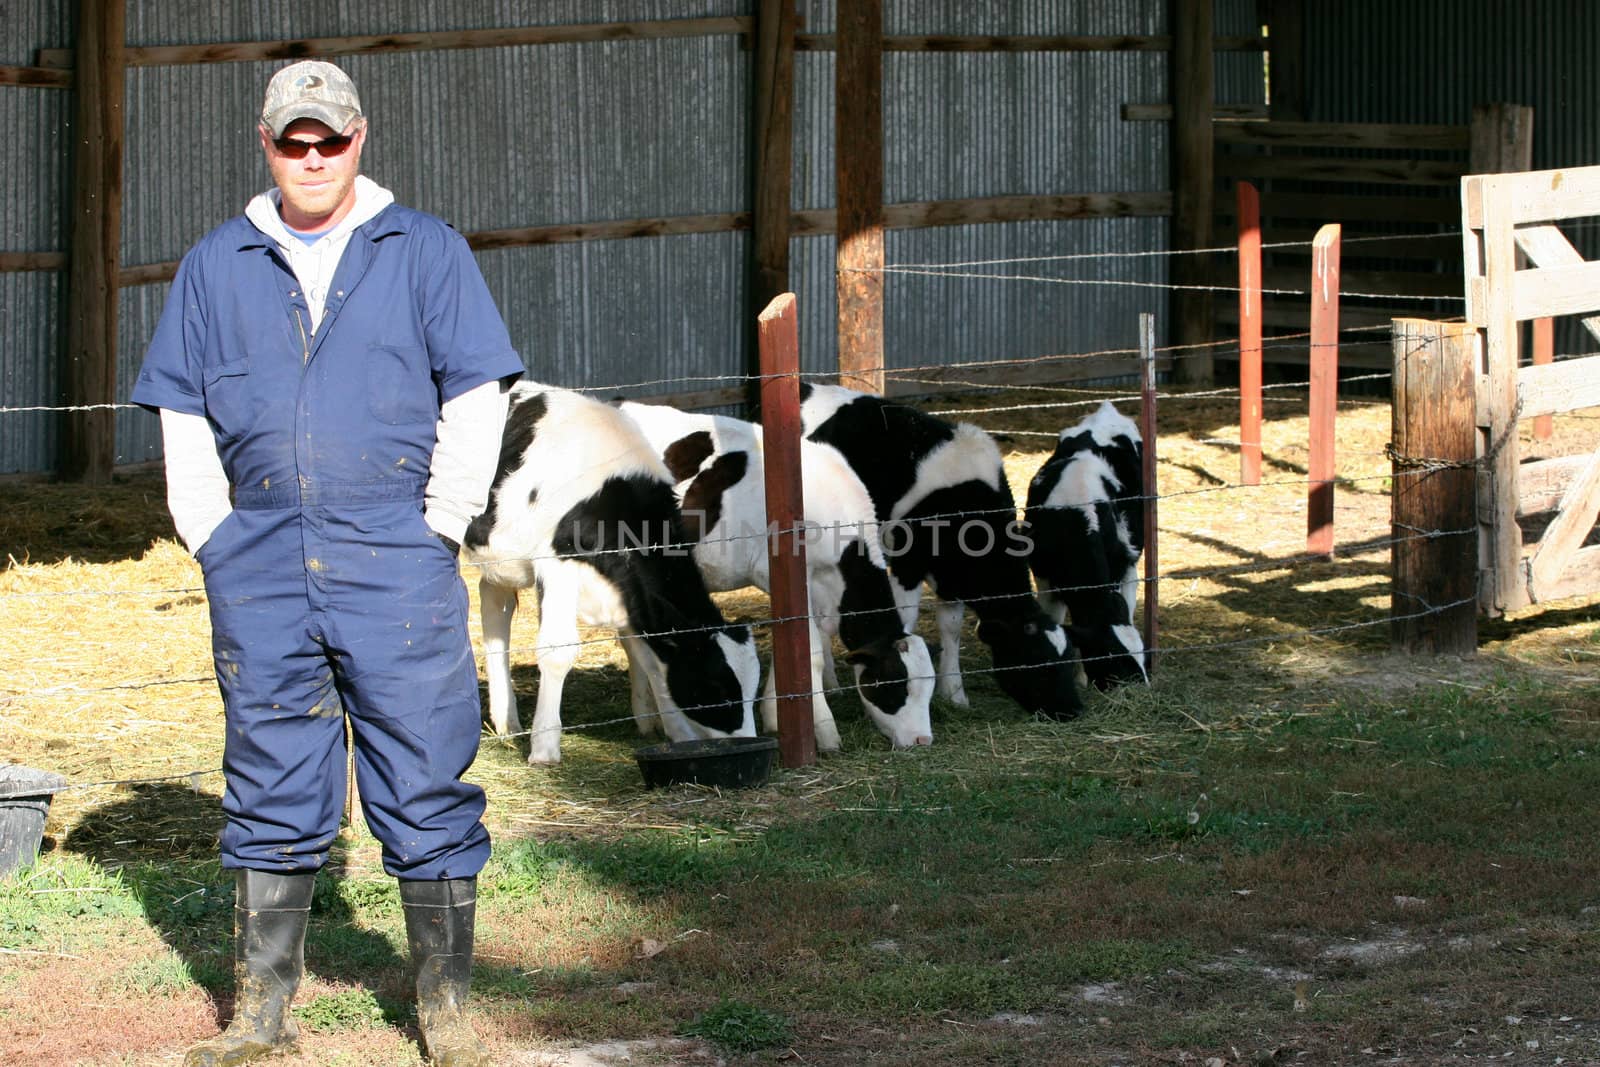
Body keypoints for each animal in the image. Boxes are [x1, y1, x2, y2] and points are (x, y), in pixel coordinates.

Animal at [464, 383, 761, 767]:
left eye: (753, 691)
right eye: (716, 689)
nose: (751, 745)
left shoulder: (629, 593)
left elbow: (651, 660)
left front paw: (679, 734)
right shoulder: (557, 562)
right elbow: (558, 650)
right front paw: (545, 748)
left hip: (501, 558)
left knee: (494, 607)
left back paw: (506, 722)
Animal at [614, 399, 934, 751]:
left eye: (929, 689)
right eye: (895, 684)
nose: (923, 739)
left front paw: (774, 716)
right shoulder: (776, 574)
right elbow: (810, 652)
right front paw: (824, 731)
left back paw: (647, 717)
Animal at [806, 379, 1081, 723]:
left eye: (1068, 657)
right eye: (1037, 663)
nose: (1073, 709)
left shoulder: (952, 576)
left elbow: (951, 628)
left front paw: (953, 693)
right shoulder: (907, 562)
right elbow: (905, 618)